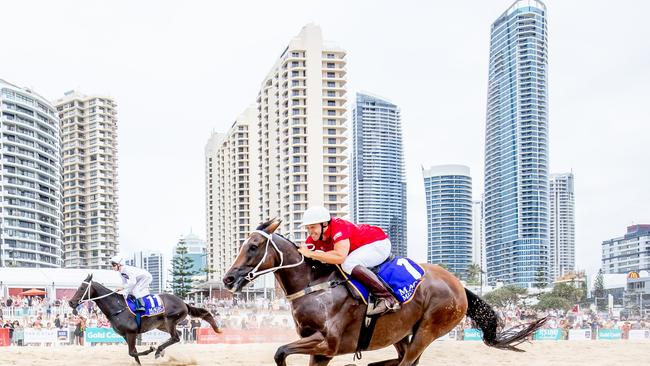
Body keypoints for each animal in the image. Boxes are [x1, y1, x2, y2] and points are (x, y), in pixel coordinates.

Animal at [68, 274, 220, 364]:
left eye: (81, 288)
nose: (70, 302)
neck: (117, 307)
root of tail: (184, 303)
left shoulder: (131, 332)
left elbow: (132, 352)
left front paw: (151, 349)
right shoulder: (125, 335)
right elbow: (134, 354)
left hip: (170, 320)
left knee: (175, 337)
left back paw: (158, 350)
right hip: (162, 325)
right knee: (178, 335)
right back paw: (161, 350)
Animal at [223, 219, 548, 366]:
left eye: (253, 247)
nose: (228, 279)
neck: (314, 286)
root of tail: (458, 286)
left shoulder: (328, 343)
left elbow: (280, 351)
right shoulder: (319, 349)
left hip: (429, 329)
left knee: (409, 362)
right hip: (401, 331)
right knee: (402, 359)